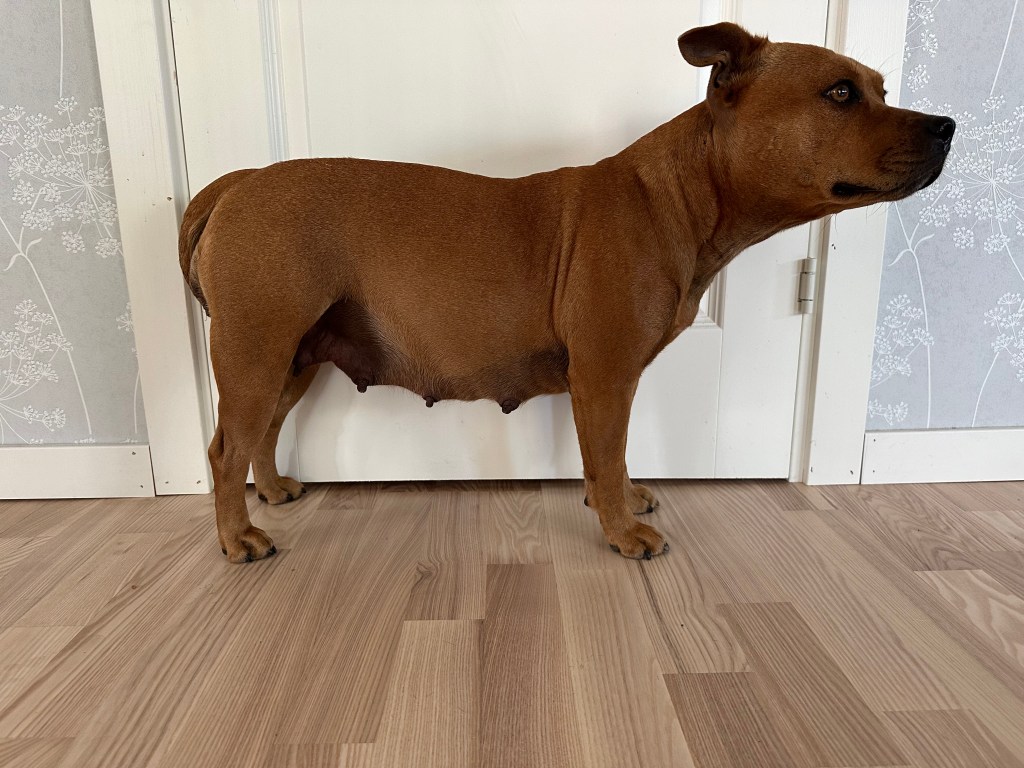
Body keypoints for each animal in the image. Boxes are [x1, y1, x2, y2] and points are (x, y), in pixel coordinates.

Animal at [179, 22, 954, 563]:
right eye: (840, 93)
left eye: (881, 88)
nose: (947, 125)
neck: (681, 193)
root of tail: (238, 182)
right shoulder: (606, 375)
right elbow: (606, 455)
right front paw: (621, 529)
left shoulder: (610, 379)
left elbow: (614, 456)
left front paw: (624, 501)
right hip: (255, 352)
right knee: (224, 448)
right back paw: (236, 537)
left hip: (289, 360)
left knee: (261, 434)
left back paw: (271, 492)